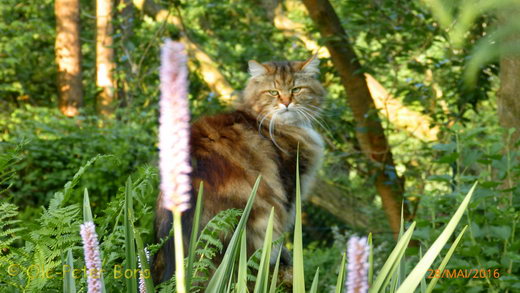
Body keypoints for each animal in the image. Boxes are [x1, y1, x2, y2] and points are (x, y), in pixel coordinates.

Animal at [151, 54, 324, 282]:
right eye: (273, 92)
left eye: (296, 89)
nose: (286, 102)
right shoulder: (289, 185)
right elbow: (281, 232)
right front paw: (281, 256)